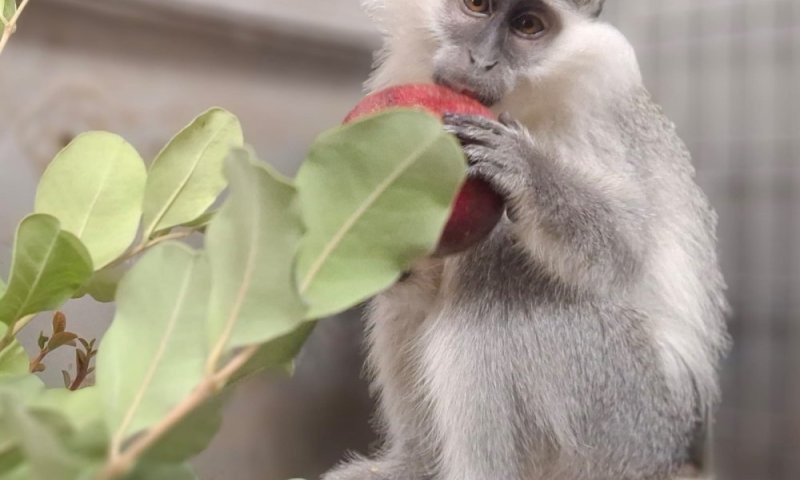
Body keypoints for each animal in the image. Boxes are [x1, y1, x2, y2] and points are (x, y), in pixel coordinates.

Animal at [322, 1, 730, 479]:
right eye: (477, 6)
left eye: (527, 26)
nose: (481, 61)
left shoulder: (594, 111)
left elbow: (625, 242)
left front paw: (526, 168)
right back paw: (416, 464)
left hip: (625, 414)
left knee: (500, 271)